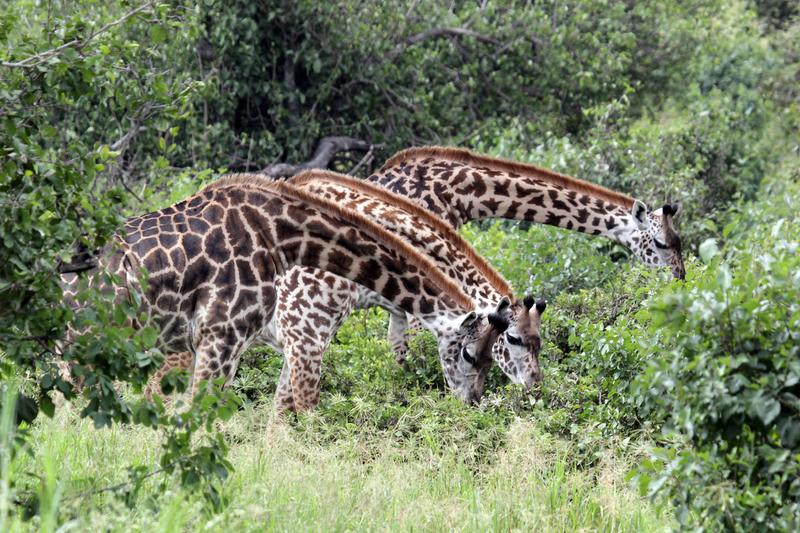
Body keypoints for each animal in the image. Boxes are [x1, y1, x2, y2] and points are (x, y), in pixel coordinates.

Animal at [61, 177, 506, 396]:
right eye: (470, 354)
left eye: (493, 358)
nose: (472, 402)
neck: (281, 236)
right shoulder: (225, 335)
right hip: (89, 344)